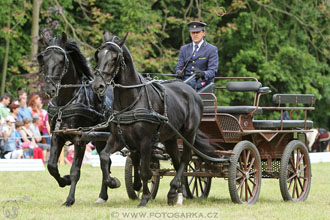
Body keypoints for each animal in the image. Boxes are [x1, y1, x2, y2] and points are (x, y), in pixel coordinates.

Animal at [37, 32, 113, 206]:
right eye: (43, 59)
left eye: (61, 60)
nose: (50, 89)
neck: (66, 102)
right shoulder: (57, 136)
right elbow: (51, 166)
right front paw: (63, 180)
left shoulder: (80, 139)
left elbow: (75, 171)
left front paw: (70, 199)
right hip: (100, 138)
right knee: (105, 162)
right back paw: (103, 195)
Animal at [91, 32, 218, 206]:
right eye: (98, 55)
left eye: (115, 58)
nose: (97, 86)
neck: (132, 101)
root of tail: (191, 92)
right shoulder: (118, 138)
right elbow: (104, 157)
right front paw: (114, 182)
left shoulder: (145, 141)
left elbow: (145, 170)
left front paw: (144, 198)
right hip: (170, 138)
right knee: (178, 161)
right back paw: (176, 193)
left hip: (188, 134)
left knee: (185, 159)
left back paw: (175, 190)